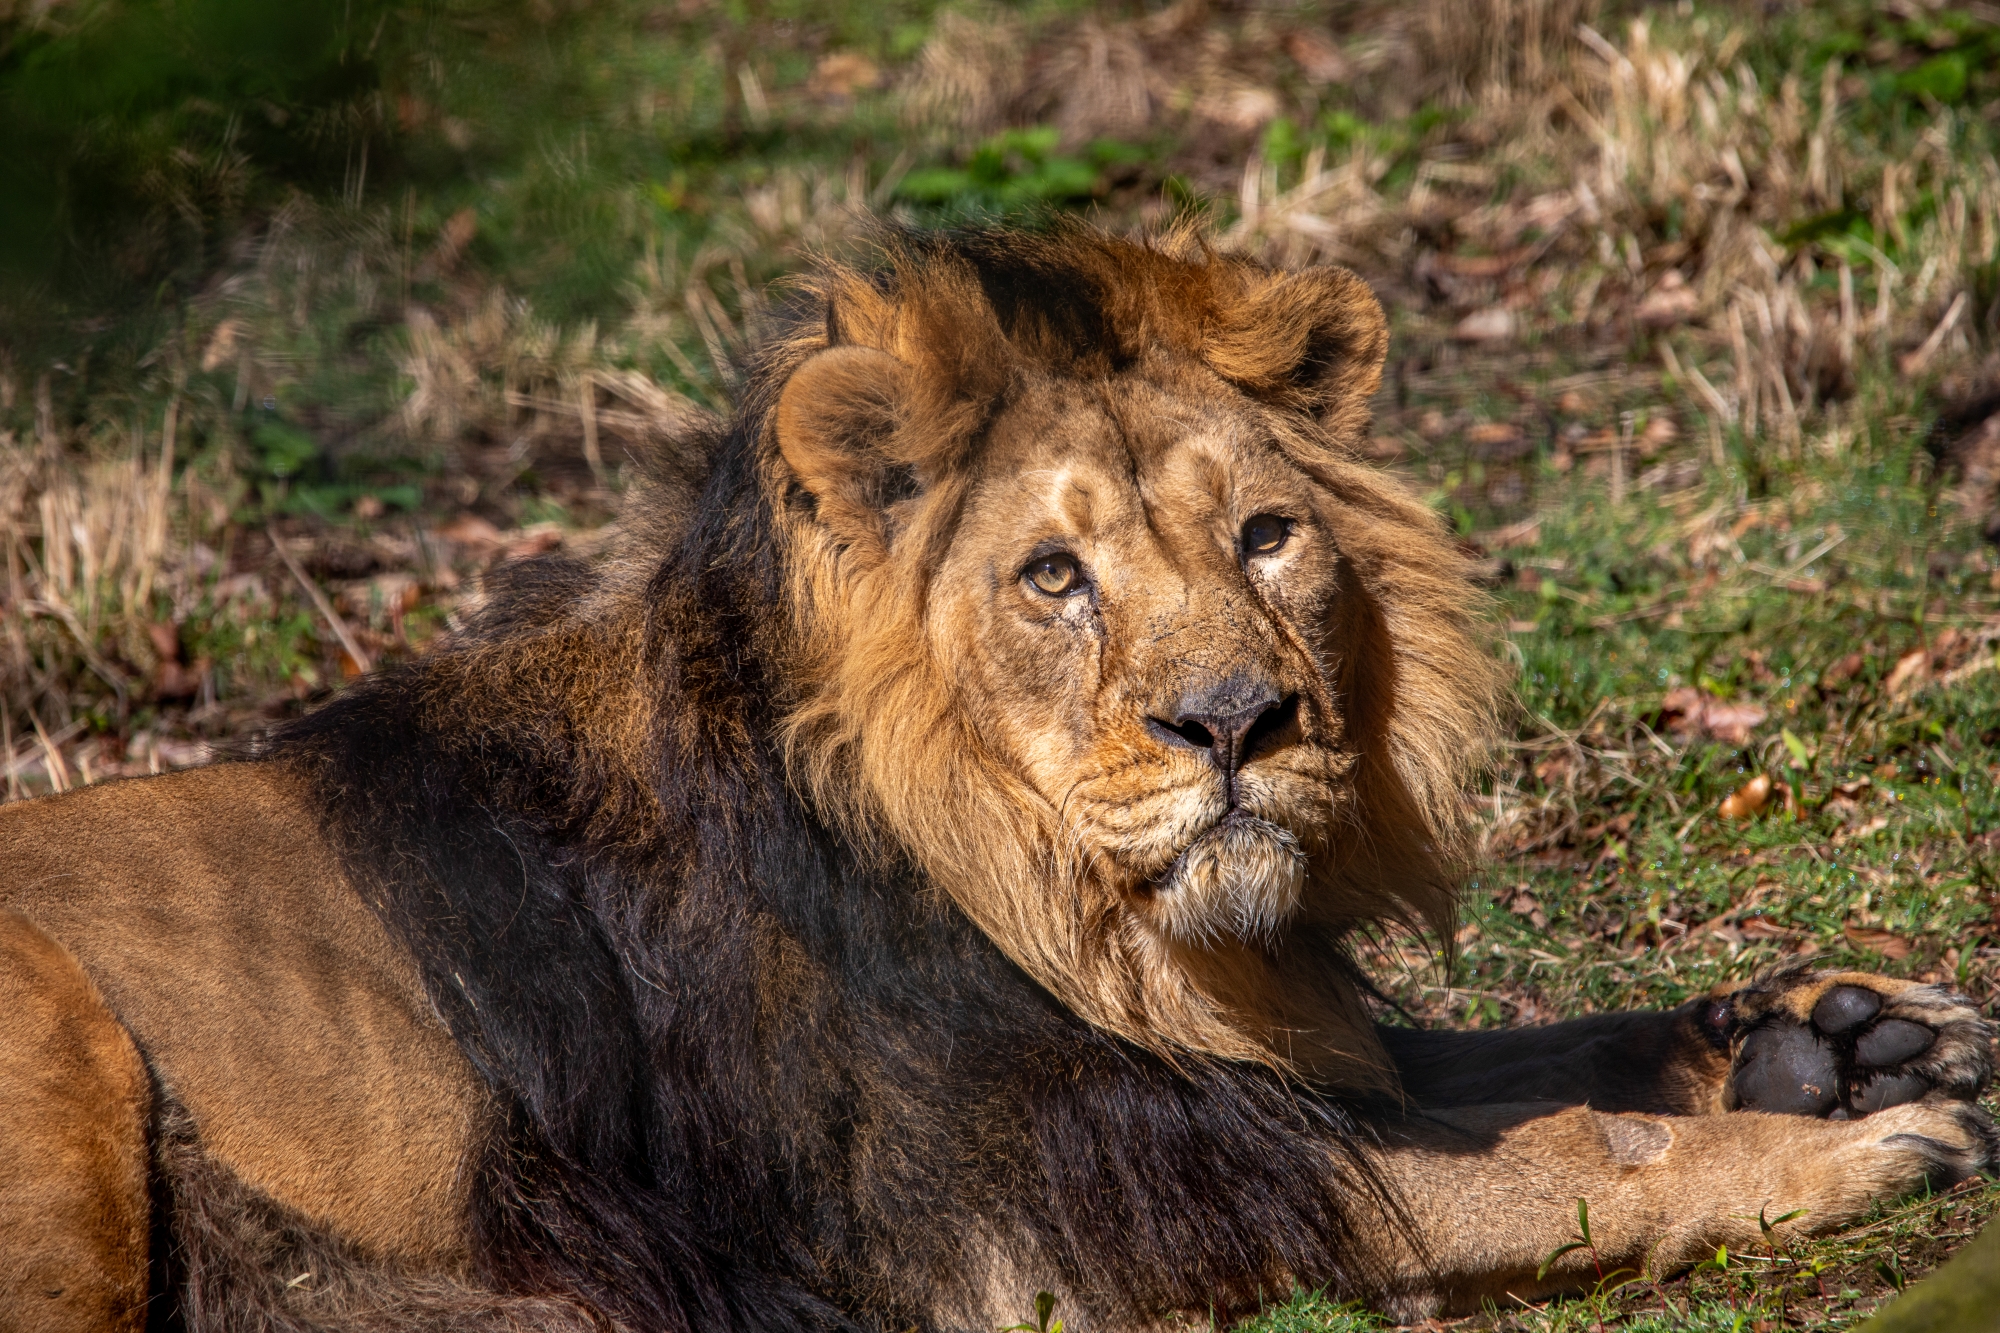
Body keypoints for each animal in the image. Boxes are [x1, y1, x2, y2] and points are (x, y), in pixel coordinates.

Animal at [1, 222, 1992, 1332]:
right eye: (1054, 576)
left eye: (1268, 534)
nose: (1238, 721)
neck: (1062, 905)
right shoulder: (1057, 1218)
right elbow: (1566, 1152)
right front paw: (1852, 1140)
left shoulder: (1250, 1077)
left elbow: (1525, 1058)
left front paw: (1841, 1033)